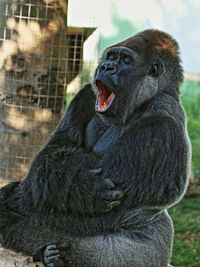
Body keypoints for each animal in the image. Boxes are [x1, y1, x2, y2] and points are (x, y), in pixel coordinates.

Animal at [0, 29, 191, 267]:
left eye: (125, 60)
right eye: (110, 57)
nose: (106, 67)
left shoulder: (160, 129)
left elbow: (109, 214)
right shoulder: (86, 94)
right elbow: (54, 152)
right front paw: (81, 187)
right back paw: (49, 254)